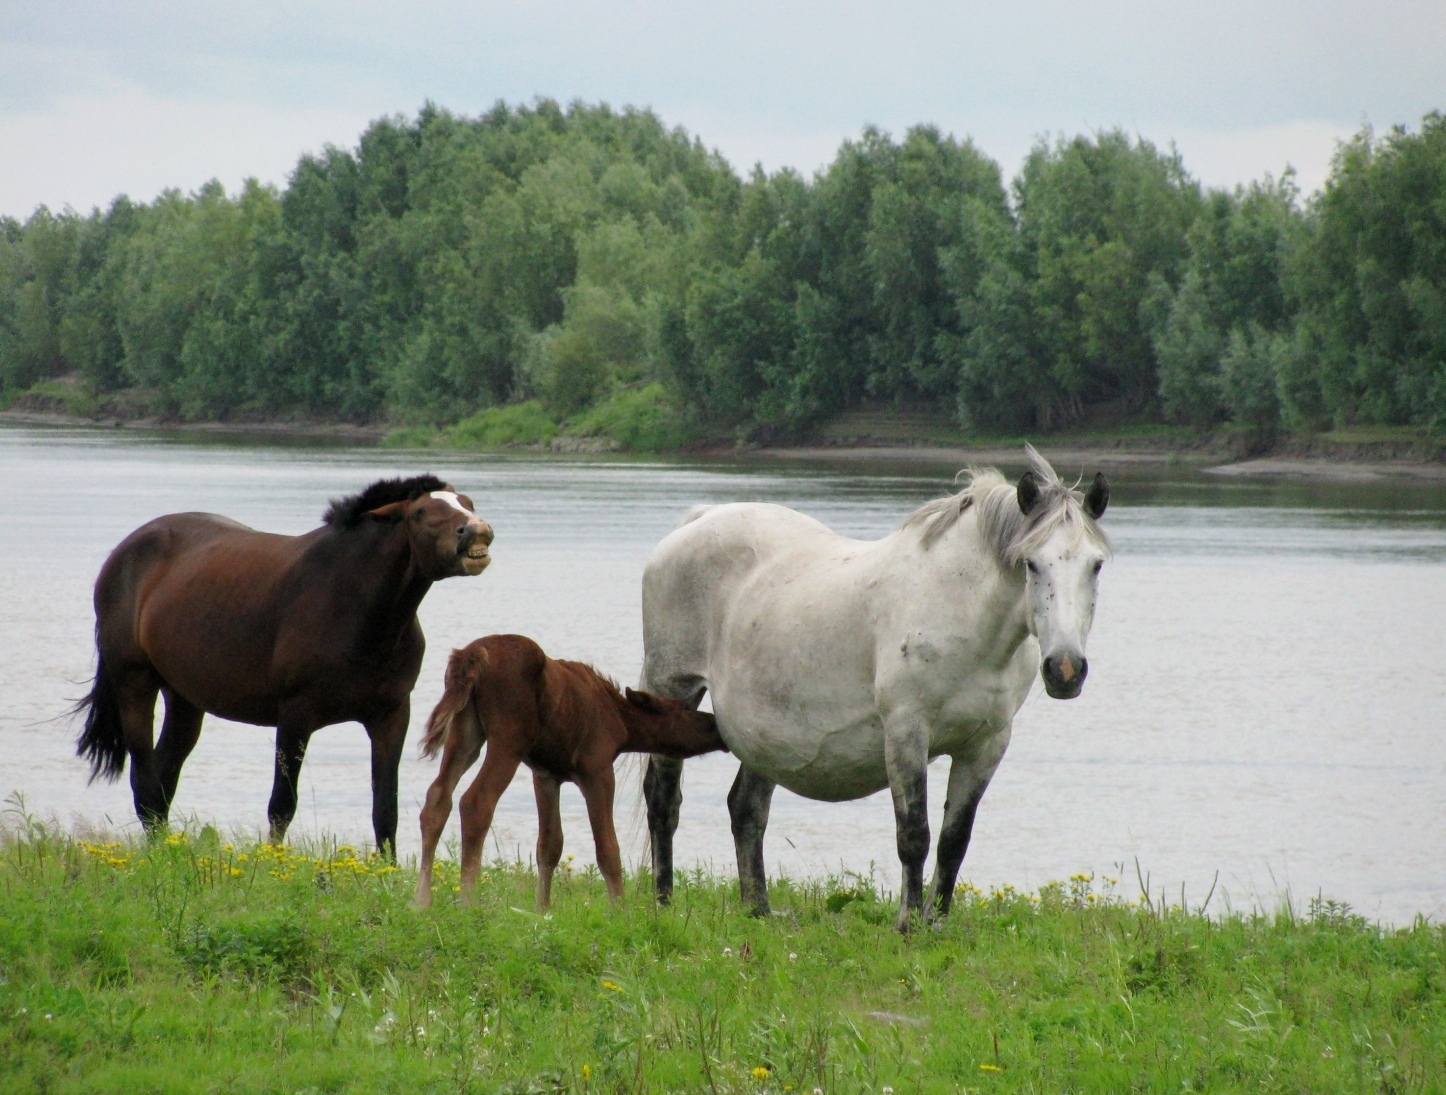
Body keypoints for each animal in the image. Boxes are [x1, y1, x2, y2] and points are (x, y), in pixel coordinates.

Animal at [74, 474, 497, 850]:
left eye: (468, 503)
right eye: (421, 512)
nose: (476, 532)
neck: (353, 604)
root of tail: (125, 552)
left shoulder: (391, 716)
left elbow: (385, 810)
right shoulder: (296, 715)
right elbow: (282, 804)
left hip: (184, 698)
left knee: (163, 779)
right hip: (135, 684)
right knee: (145, 780)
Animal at [413, 633, 723, 908]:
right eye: (685, 710)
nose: (715, 725)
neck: (622, 725)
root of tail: (468, 658)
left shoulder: (546, 775)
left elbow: (549, 846)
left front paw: (542, 910)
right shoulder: (597, 768)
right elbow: (608, 849)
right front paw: (621, 912)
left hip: (464, 730)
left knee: (437, 797)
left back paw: (422, 902)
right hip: (509, 739)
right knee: (476, 801)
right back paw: (468, 903)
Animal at [639, 445, 1110, 931]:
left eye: (1095, 564)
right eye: (1031, 563)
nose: (1066, 669)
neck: (958, 609)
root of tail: (699, 520)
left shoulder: (987, 745)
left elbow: (954, 841)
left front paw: (936, 925)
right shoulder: (906, 734)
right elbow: (914, 835)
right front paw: (907, 925)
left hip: (763, 733)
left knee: (746, 810)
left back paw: (758, 911)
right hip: (673, 687)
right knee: (663, 799)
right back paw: (663, 903)